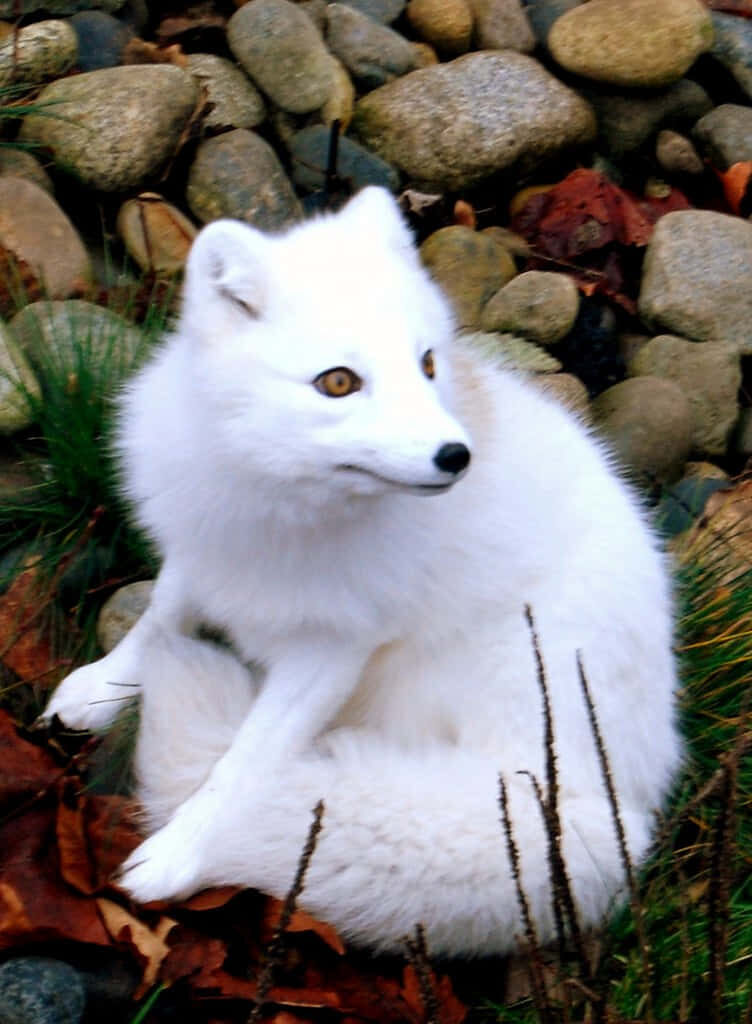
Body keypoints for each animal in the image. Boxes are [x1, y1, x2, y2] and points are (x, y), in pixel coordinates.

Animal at [43, 186, 680, 957]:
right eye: (339, 383)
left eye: (429, 364)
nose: (456, 457)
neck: (279, 506)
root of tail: (620, 807)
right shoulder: (204, 546)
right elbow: (160, 619)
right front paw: (102, 686)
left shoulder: (334, 648)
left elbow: (246, 762)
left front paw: (181, 852)